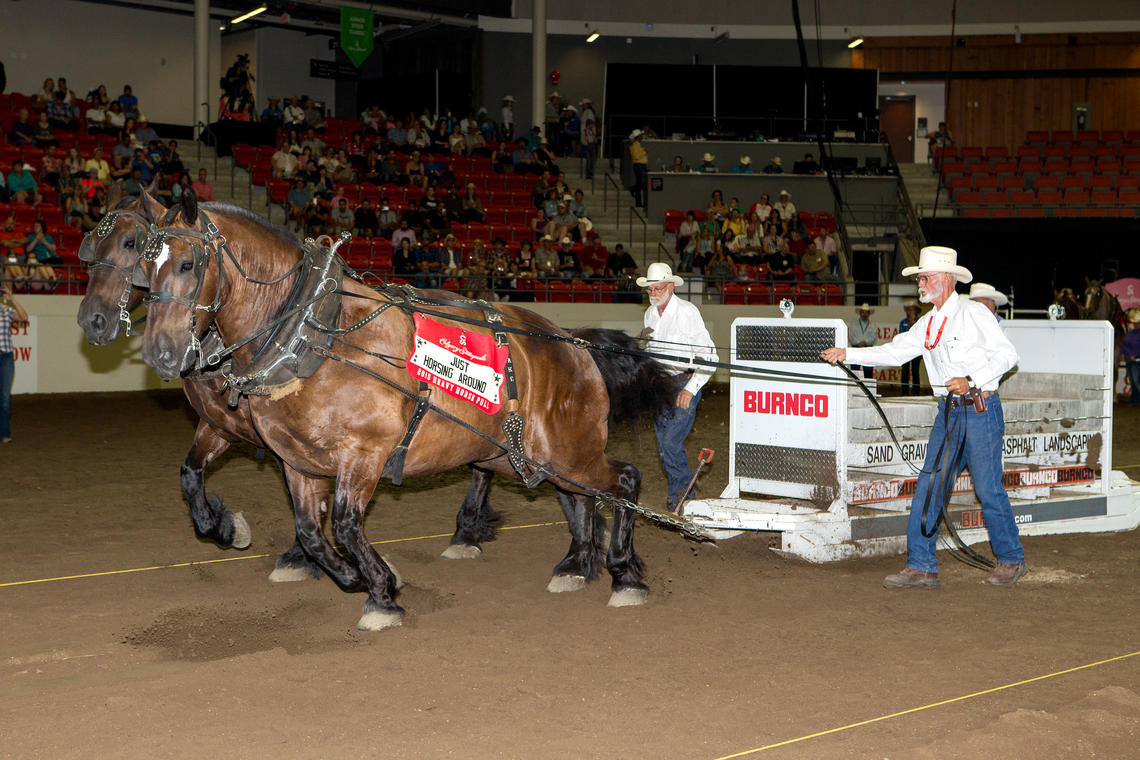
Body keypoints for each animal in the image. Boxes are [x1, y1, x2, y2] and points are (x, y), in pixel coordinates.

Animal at [78, 189, 506, 583]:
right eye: (91, 244)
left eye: (130, 244)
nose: (91, 320)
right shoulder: (222, 425)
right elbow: (191, 473)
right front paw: (227, 528)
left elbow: (312, 503)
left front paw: (305, 559)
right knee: (484, 459)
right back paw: (468, 530)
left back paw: (466, 532)